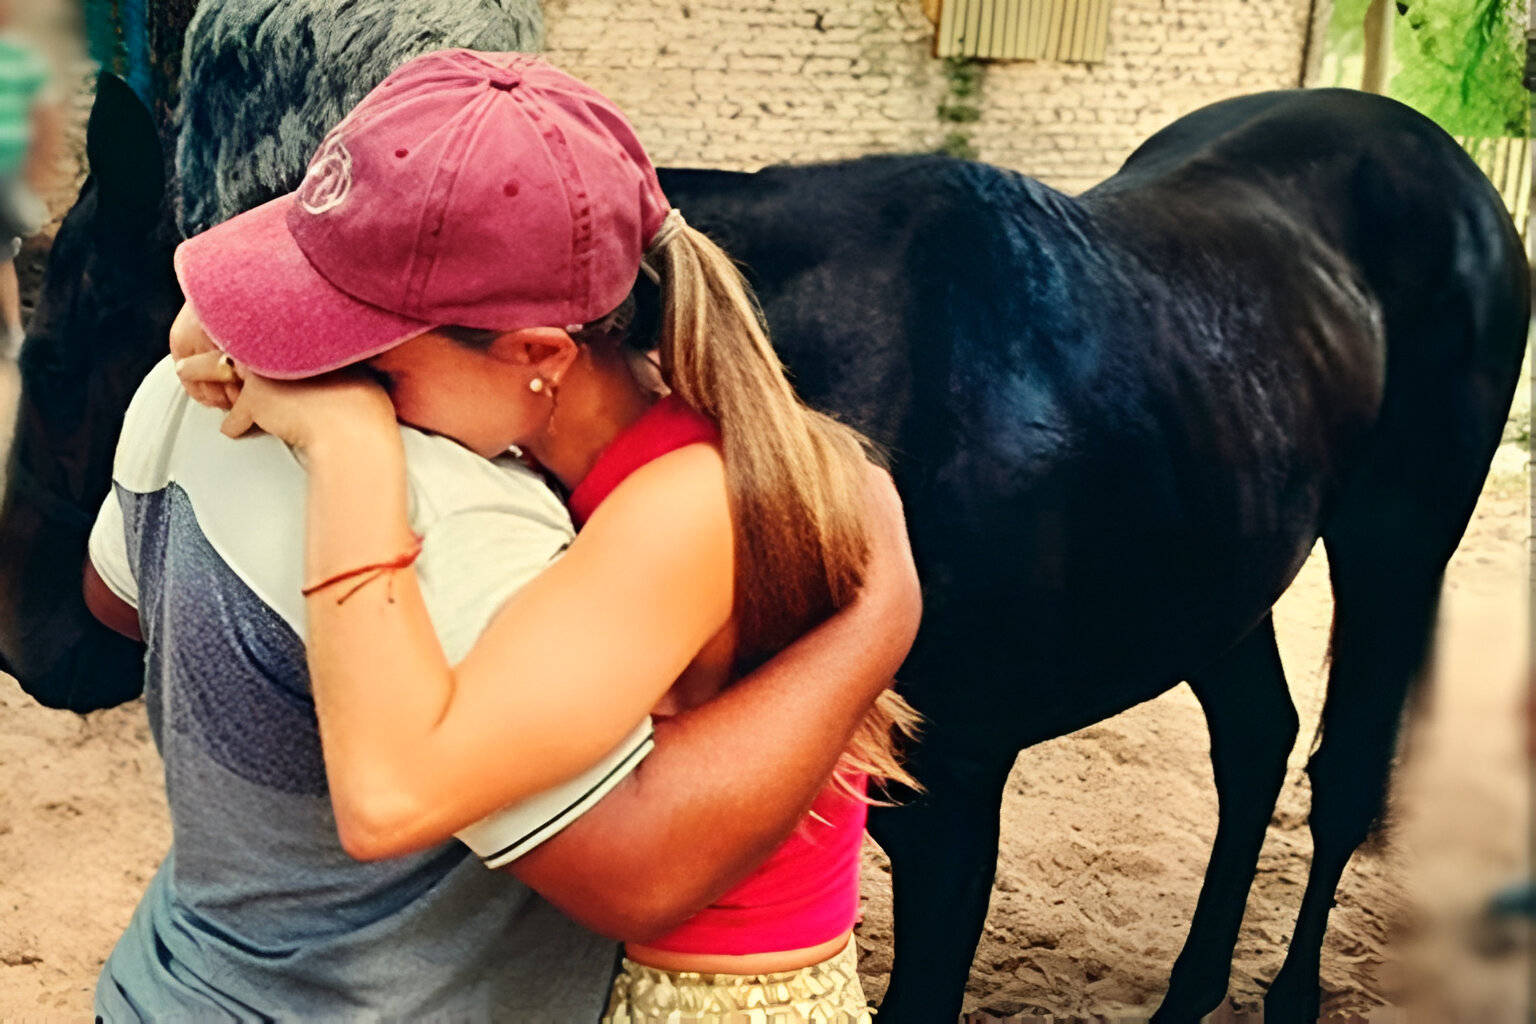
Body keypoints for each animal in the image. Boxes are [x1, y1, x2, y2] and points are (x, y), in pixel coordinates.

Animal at [1, 21, 1526, 1024]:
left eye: (74, 352)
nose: (33, 641)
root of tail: (1440, 165)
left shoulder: (955, 799)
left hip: (1399, 545)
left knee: (1340, 772)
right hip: (1222, 564)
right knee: (1258, 741)